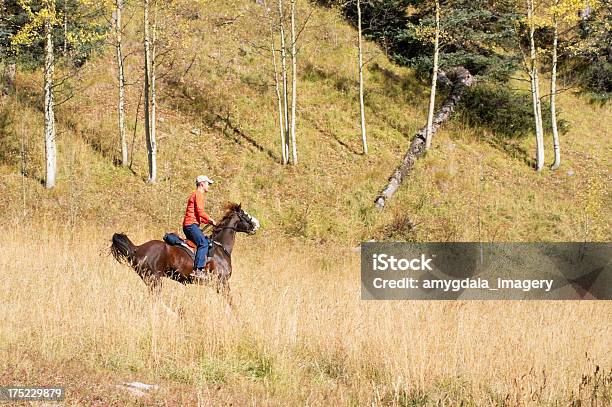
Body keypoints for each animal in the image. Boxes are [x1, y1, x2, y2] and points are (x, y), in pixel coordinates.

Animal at [111, 202, 260, 304]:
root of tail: (137, 248)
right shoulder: (222, 282)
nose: (257, 225)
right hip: (154, 278)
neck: (221, 247)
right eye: (246, 215)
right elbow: (231, 303)